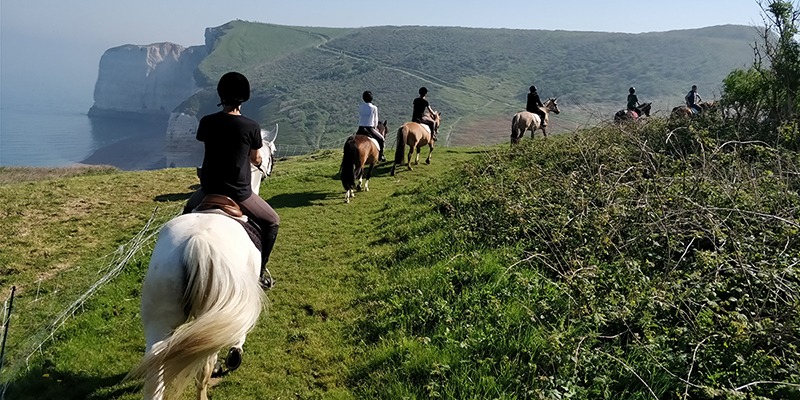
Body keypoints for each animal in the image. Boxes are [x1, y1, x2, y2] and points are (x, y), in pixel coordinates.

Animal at [130, 123, 278, 398]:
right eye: (272, 152)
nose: (269, 170)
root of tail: (196, 242)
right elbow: (239, 334)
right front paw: (235, 355)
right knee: (204, 368)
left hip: (159, 316)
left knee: (155, 371)